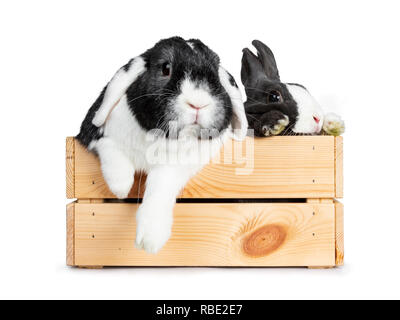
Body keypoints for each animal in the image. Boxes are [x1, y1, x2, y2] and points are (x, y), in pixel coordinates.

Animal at [76, 37, 248, 252]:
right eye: (166, 68)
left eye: (215, 72)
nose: (198, 103)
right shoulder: (96, 136)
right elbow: (110, 147)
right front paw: (121, 187)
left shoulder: (179, 165)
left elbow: (161, 184)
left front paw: (150, 239)